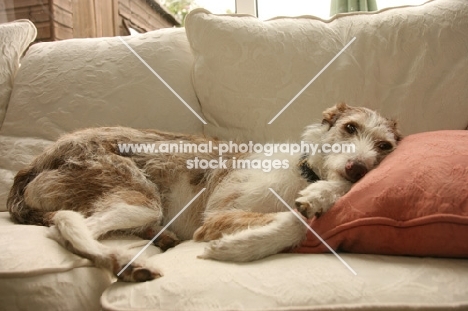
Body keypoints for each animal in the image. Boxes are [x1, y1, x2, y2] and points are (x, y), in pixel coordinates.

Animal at [7, 104, 400, 282]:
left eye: (386, 146)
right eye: (350, 127)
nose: (357, 168)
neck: (303, 169)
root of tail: (33, 165)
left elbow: (312, 206)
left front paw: (321, 196)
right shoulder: (219, 215)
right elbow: (296, 223)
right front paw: (237, 248)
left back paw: (156, 240)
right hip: (139, 197)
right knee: (66, 224)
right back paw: (127, 263)